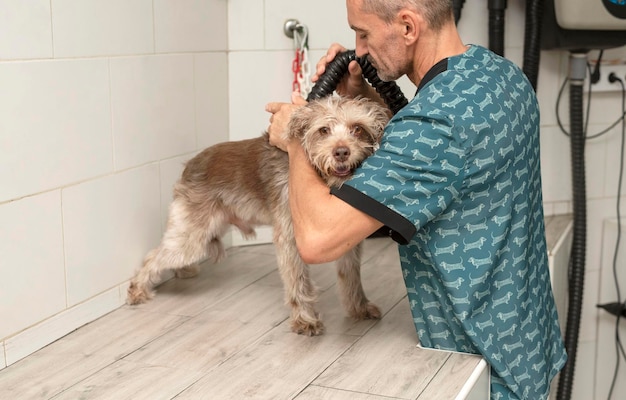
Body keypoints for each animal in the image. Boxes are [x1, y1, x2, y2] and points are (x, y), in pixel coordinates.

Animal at [125, 95, 390, 336]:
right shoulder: (290, 239)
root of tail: (190, 164)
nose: (341, 152)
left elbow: (351, 278)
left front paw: (359, 308)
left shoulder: (343, 241)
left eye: (358, 129)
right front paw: (305, 320)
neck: (319, 176)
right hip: (191, 237)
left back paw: (181, 272)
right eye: (323, 130)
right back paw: (138, 290)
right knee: (154, 256)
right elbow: (298, 282)